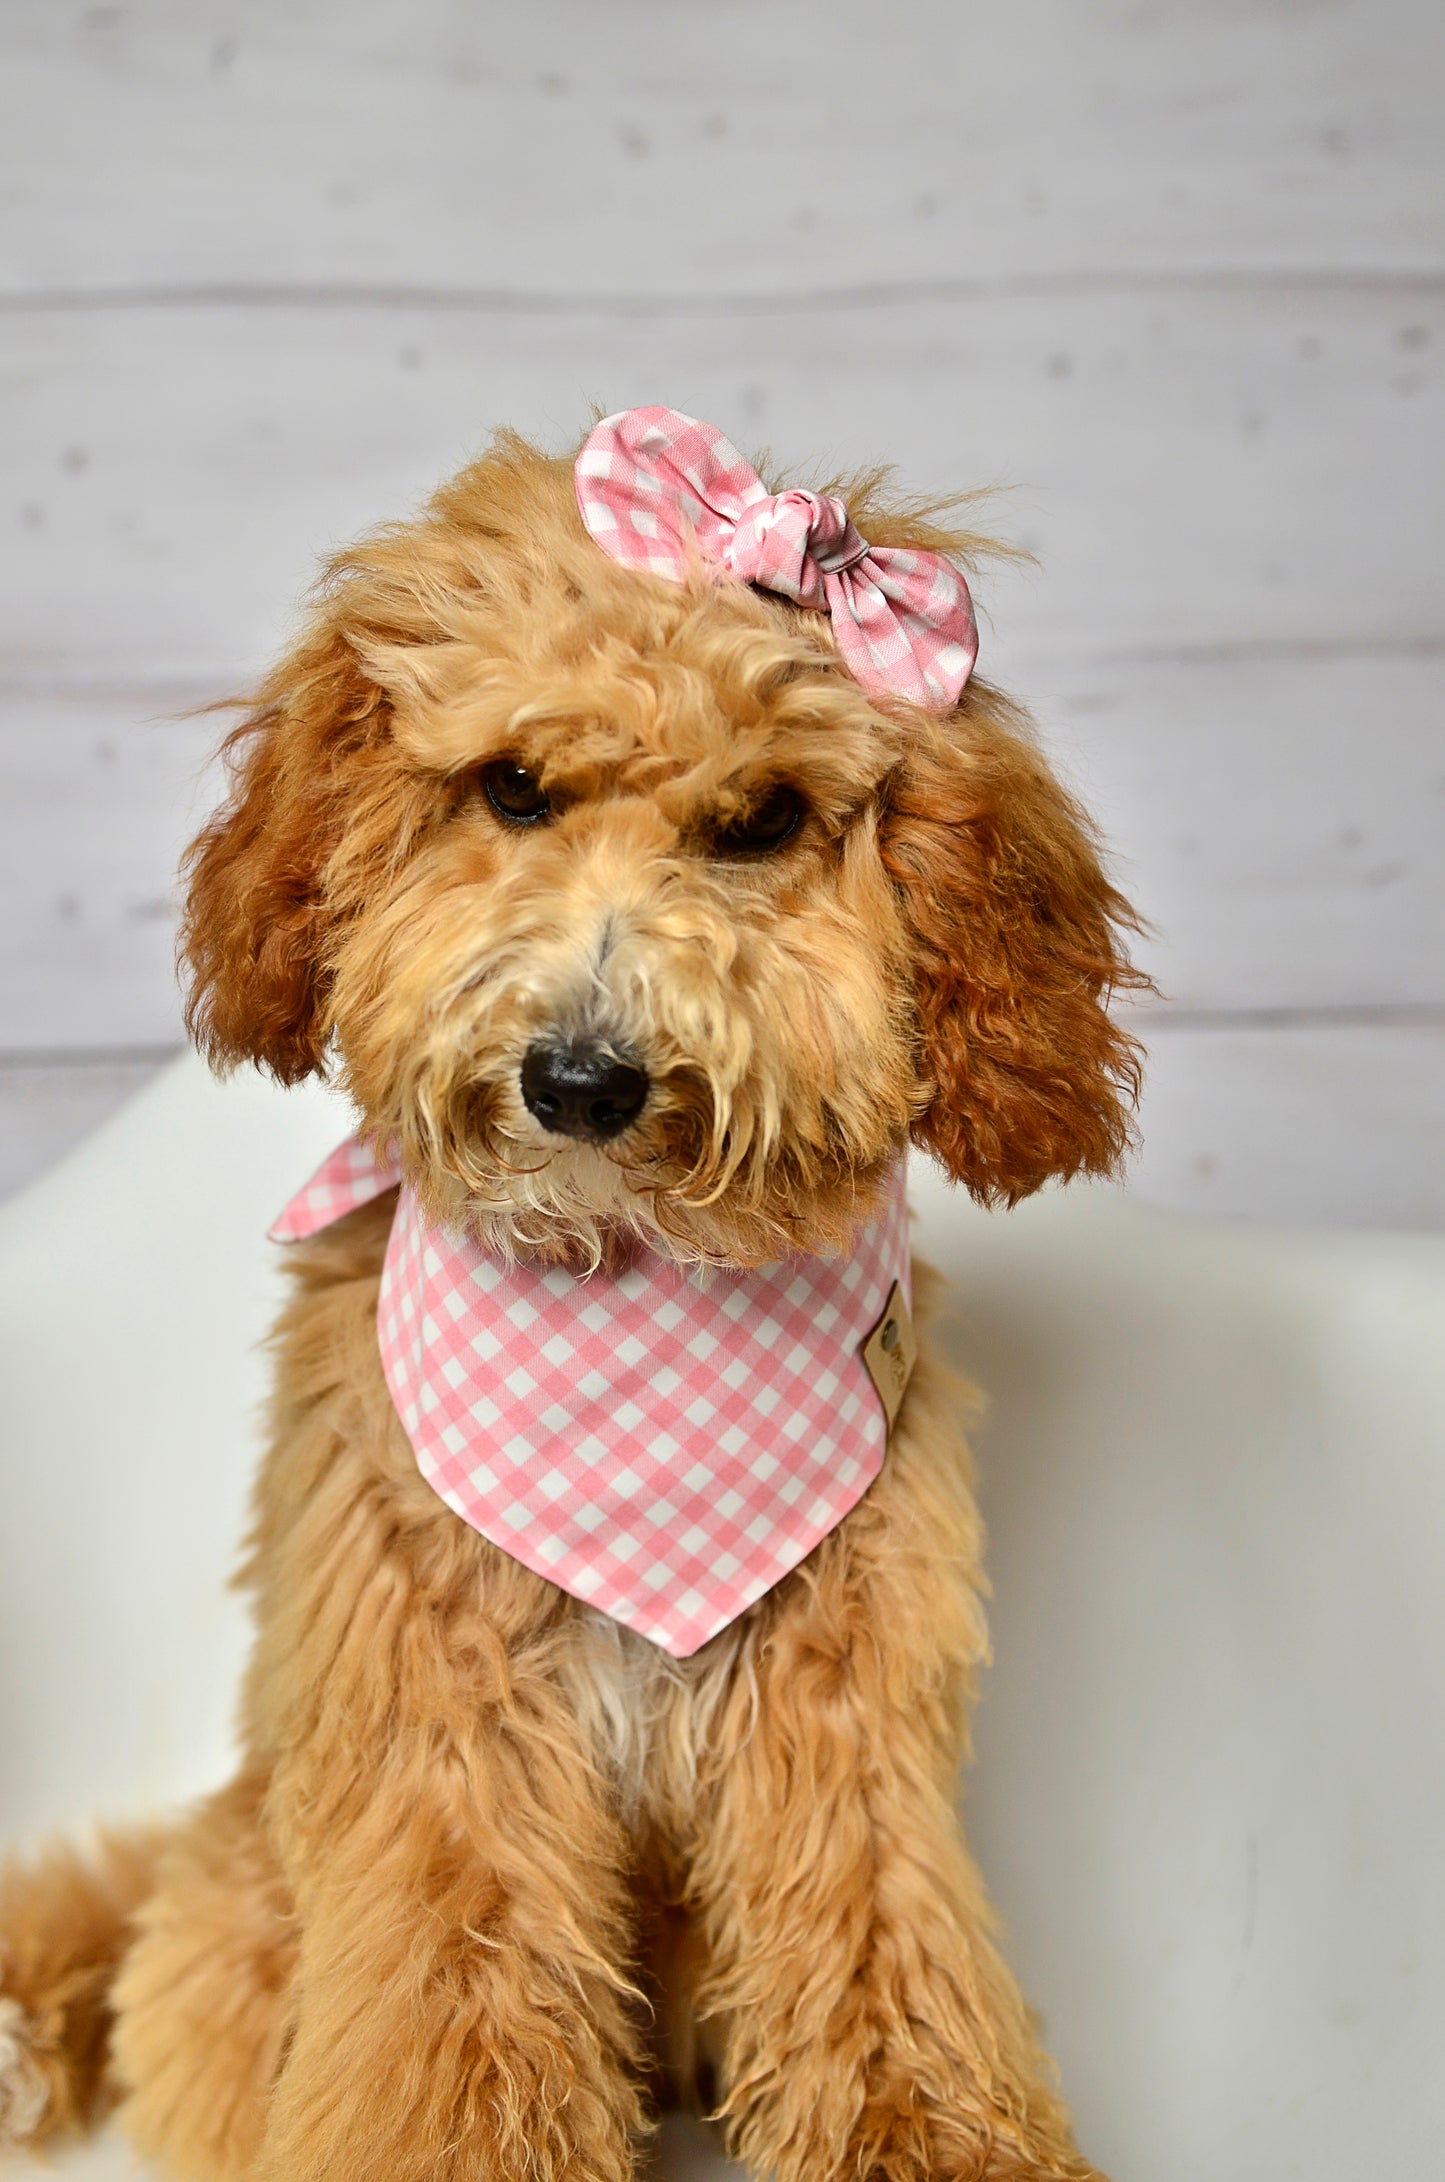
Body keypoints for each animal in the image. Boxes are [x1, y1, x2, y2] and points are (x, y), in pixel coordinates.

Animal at [5, 410, 1152, 2182]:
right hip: (245, 1918)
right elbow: (450, 2016)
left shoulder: (843, 1711)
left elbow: (886, 1956)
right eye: (514, 786)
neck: (630, 1300)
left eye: (761, 818)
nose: (583, 1079)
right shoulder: (443, 1730)